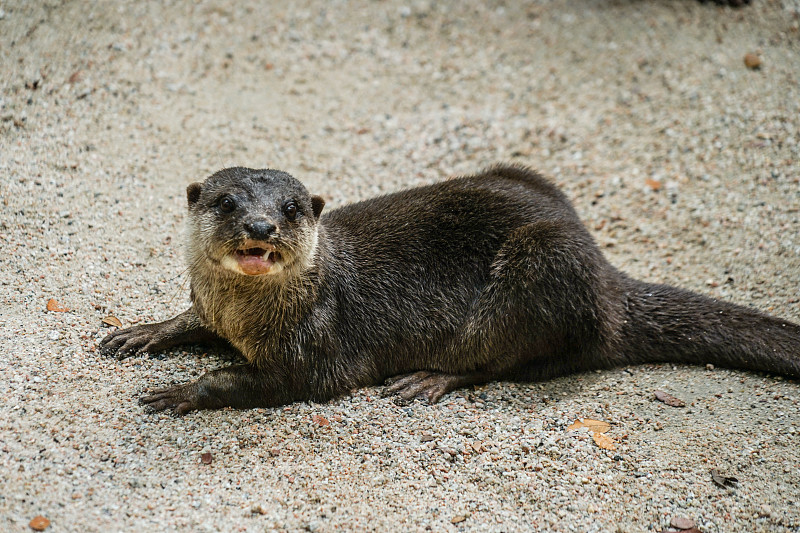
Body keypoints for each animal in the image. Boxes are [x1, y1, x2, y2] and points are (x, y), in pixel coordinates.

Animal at [100, 164, 800, 414]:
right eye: (226, 202)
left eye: (292, 209)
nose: (261, 227)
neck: (247, 319)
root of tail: (607, 283)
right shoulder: (214, 310)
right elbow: (189, 319)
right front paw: (141, 332)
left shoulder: (314, 352)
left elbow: (256, 380)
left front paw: (182, 391)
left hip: (543, 264)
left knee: (508, 360)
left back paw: (430, 379)